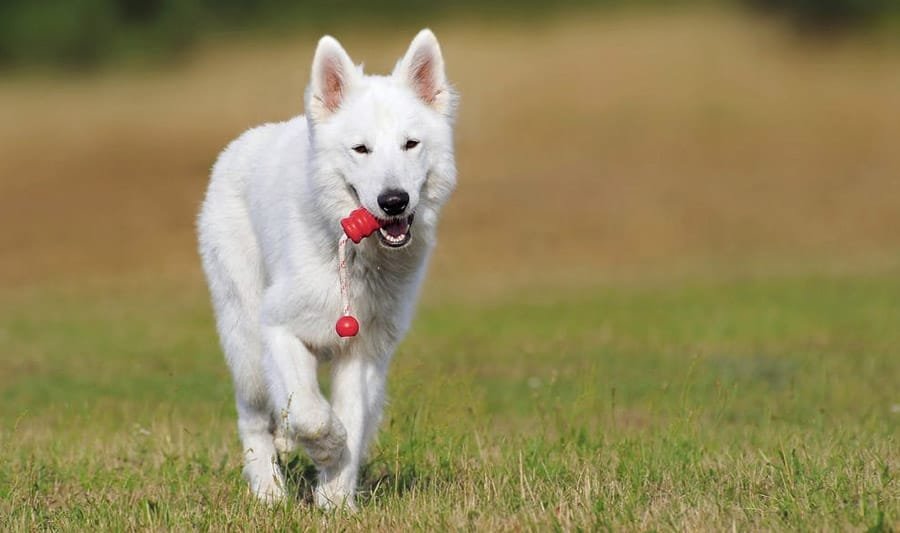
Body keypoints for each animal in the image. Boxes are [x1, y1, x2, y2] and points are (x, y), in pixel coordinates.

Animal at [197, 31, 458, 510]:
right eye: (361, 149)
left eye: (410, 144)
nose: (394, 201)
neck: (354, 257)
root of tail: (241, 143)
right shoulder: (278, 329)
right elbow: (310, 413)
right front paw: (326, 448)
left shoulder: (363, 353)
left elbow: (351, 418)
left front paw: (336, 501)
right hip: (245, 341)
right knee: (254, 418)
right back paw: (269, 492)